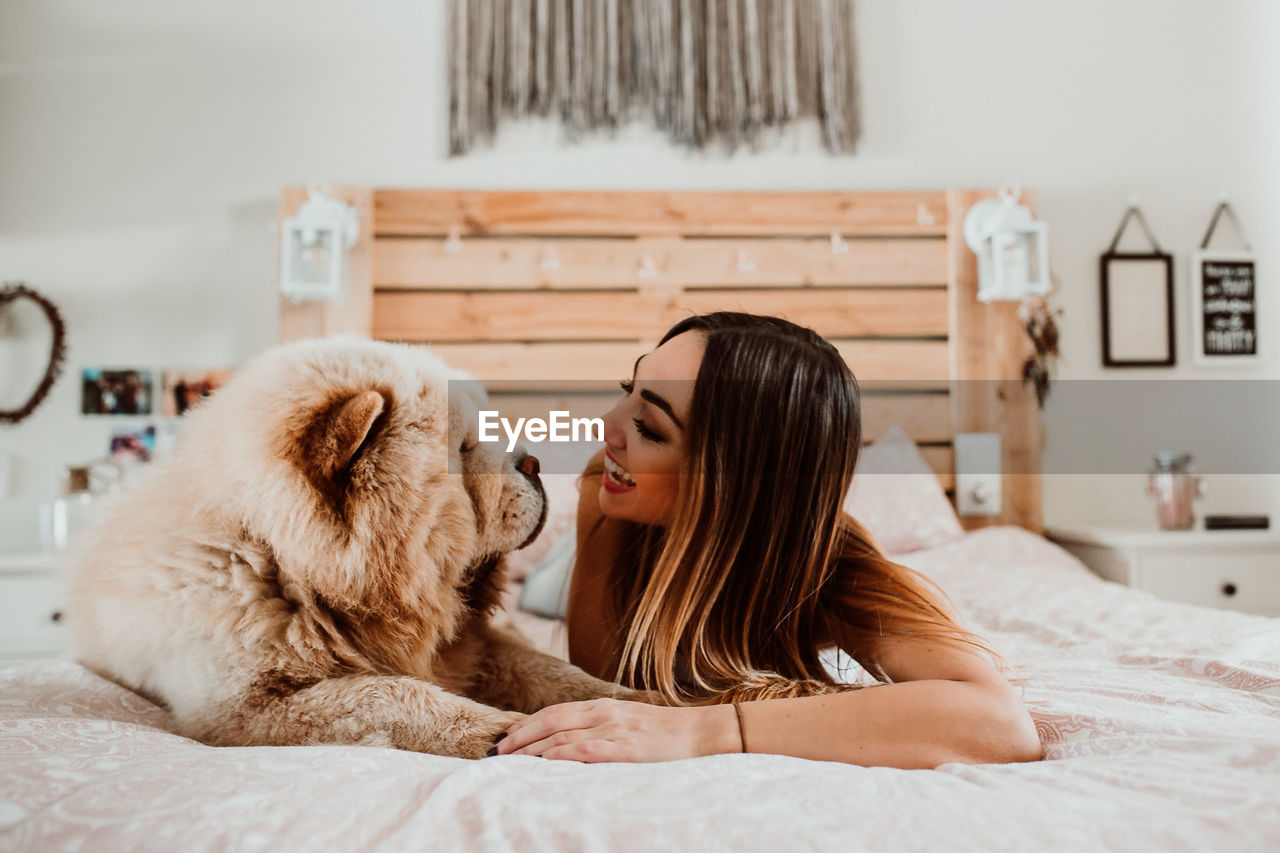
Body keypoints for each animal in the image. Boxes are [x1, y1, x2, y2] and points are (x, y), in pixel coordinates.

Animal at [70, 335, 640, 753]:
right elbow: (385, 692)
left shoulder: (475, 644)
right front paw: (494, 729)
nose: (535, 463)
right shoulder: (244, 709)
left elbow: (553, 671)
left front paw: (630, 701)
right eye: (462, 450)